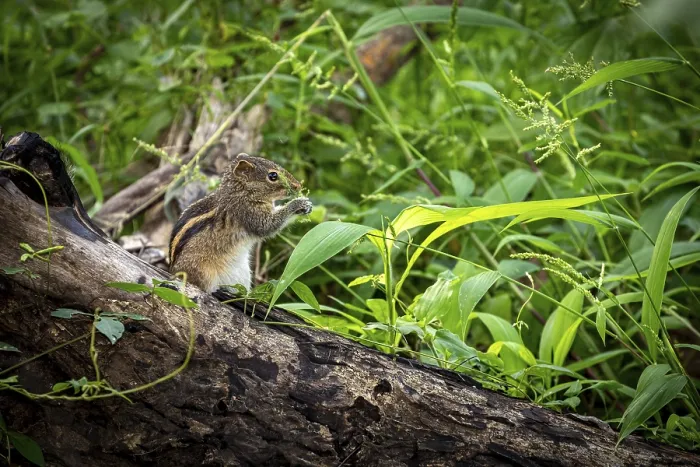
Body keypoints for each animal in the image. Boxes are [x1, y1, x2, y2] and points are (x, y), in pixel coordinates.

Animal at [168, 153, 312, 293]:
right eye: (273, 176)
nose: (298, 185)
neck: (240, 192)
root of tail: (173, 272)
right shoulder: (250, 213)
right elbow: (269, 226)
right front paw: (298, 203)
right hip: (204, 273)